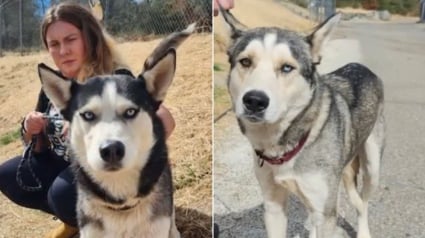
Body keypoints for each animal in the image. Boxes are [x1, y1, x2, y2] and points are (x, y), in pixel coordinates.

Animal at [219, 8, 384, 238]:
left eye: (287, 67)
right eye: (245, 62)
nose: (254, 101)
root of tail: (361, 66)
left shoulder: (326, 213)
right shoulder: (273, 205)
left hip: (372, 167)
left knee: (363, 203)